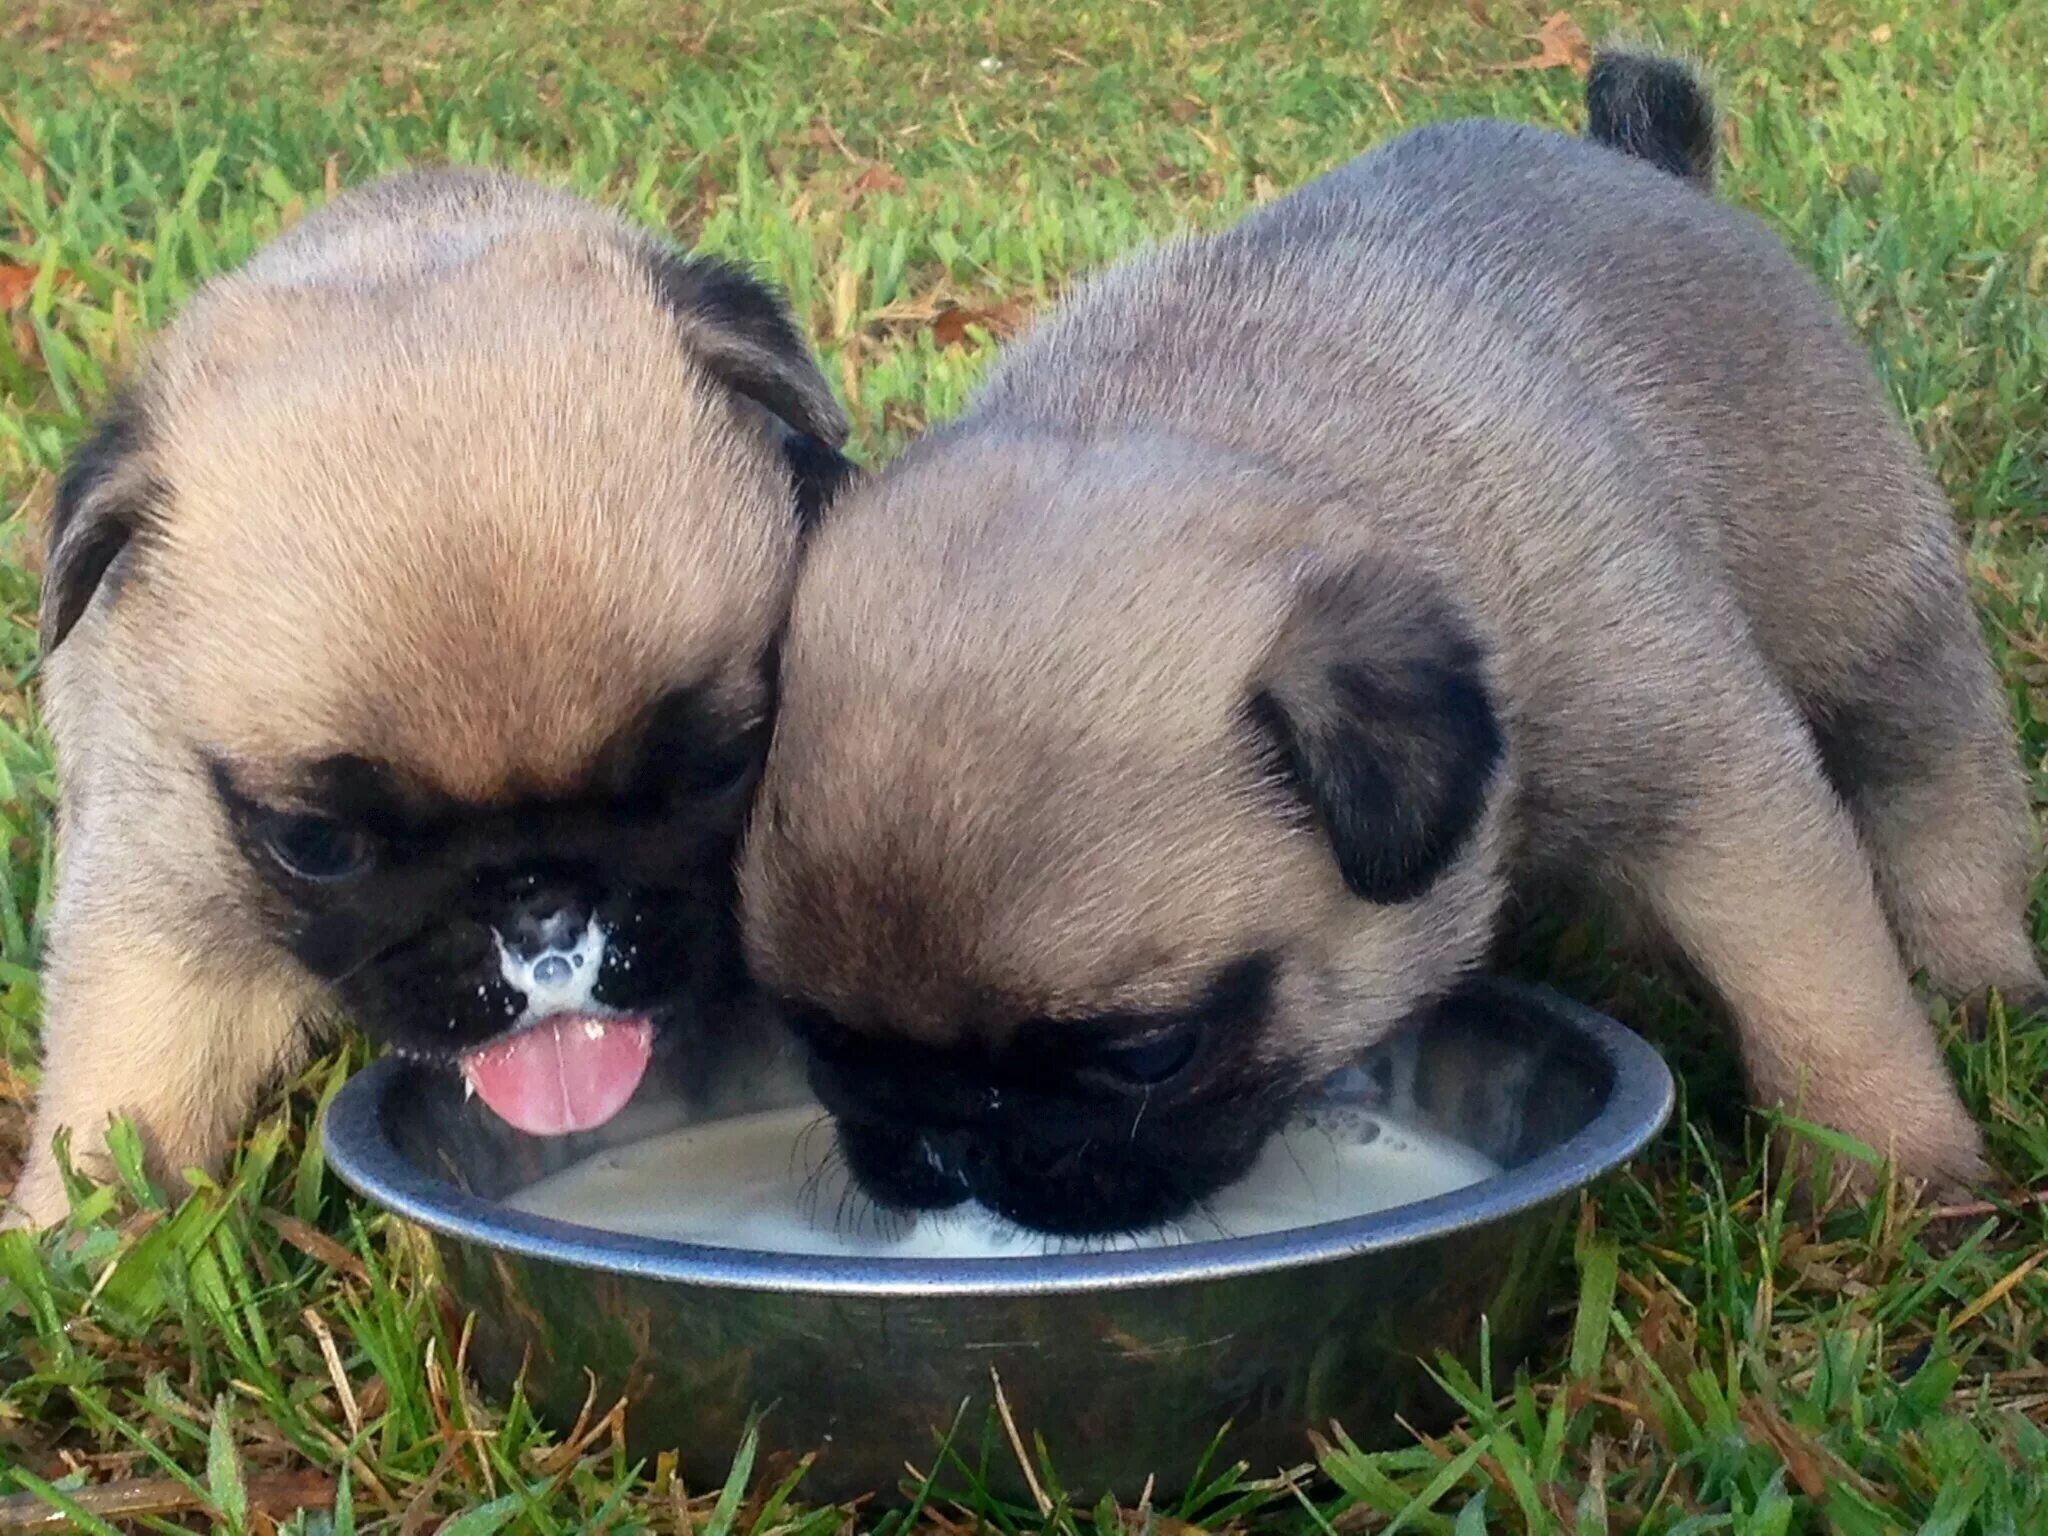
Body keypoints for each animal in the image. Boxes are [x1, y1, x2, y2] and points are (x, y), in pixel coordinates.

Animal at [9, 167, 856, 1228]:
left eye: (714, 771)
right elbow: (123, 1105)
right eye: (317, 844)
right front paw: (76, 1238)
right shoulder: (158, 918)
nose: (541, 908)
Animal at [745, 54, 2039, 1236]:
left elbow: (1817, 988)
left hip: (1871, 614)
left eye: (1150, 1054)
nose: (944, 1138)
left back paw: (1975, 974)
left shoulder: (1718, 795)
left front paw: (1888, 1174)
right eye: (811, 1038)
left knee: (1935, 784)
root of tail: (1652, 169)